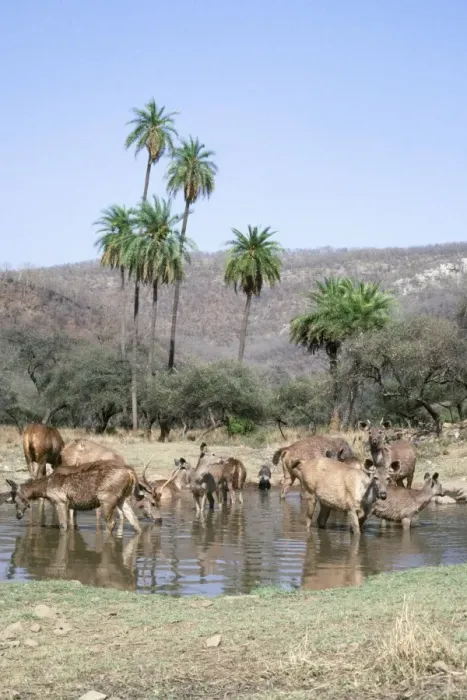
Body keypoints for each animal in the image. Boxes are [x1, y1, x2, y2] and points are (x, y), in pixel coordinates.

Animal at [5, 460, 145, 534]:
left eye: (16, 499)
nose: (18, 515)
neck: (44, 489)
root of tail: (131, 473)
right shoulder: (69, 505)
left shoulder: (60, 501)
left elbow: (63, 525)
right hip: (123, 498)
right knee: (135, 521)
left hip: (107, 498)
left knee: (111, 523)